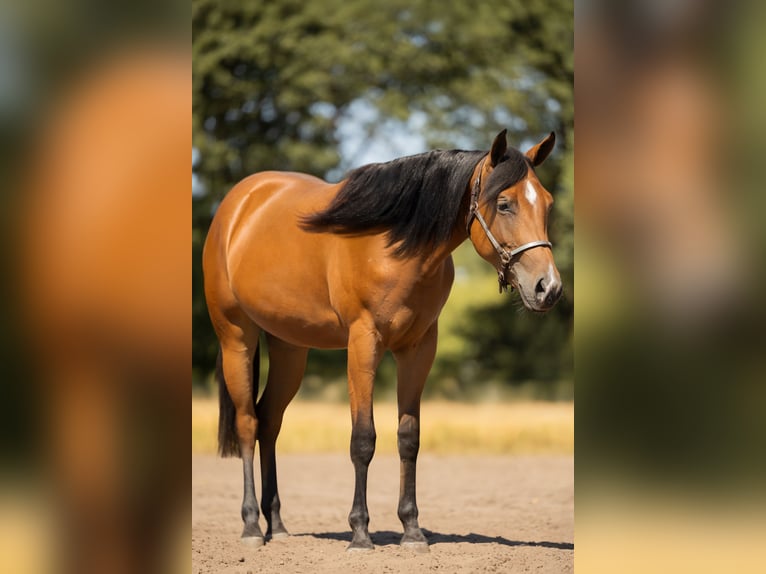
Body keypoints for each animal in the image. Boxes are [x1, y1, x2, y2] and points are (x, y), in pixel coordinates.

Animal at [202, 129, 562, 552]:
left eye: (548, 204)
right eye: (504, 204)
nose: (548, 288)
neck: (396, 246)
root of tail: (237, 205)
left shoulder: (418, 348)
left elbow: (409, 437)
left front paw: (412, 530)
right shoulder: (363, 343)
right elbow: (363, 438)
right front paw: (360, 532)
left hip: (290, 347)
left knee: (269, 421)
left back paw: (277, 524)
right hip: (236, 337)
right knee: (247, 422)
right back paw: (251, 528)